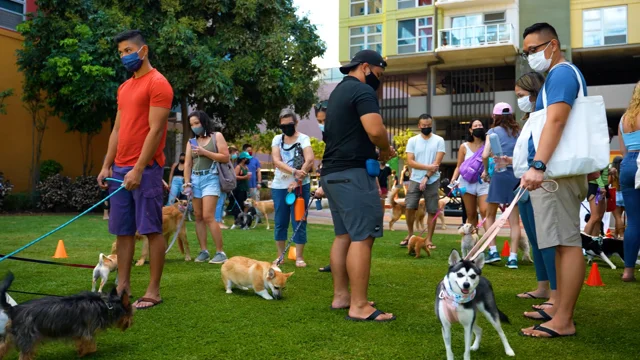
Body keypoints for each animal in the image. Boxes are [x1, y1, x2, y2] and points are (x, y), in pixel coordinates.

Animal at [0, 272, 134, 360]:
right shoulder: (86, 332)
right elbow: (91, 345)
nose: (131, 323)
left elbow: (82, 343)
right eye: (131, 313)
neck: (106, 304)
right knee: (24, 355)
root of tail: (13, 309)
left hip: (9, 336)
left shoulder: (79, 333)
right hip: (28, 338)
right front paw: (85, 353)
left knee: (2, 347)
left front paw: (80, 351)